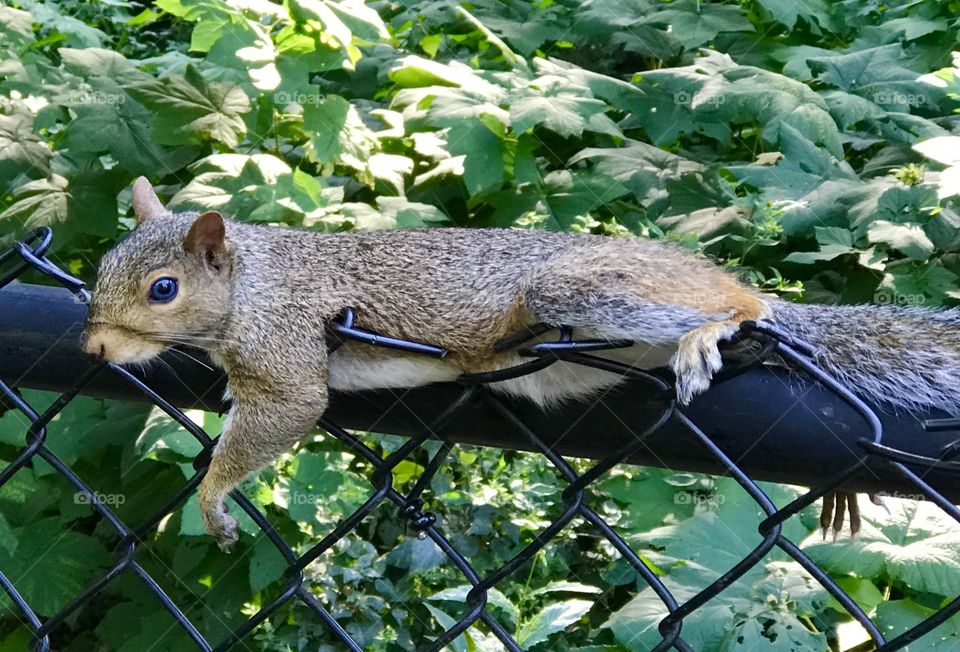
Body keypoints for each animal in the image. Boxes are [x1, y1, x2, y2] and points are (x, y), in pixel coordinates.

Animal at [83, 178, 960, 550]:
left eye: (163, 289)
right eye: (100, 267)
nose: (92, 347)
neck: (253, 283)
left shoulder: (289, 342)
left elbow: (288, 410)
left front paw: (213, 496)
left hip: (582, 289)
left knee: (748, 310)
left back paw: (716, 327)